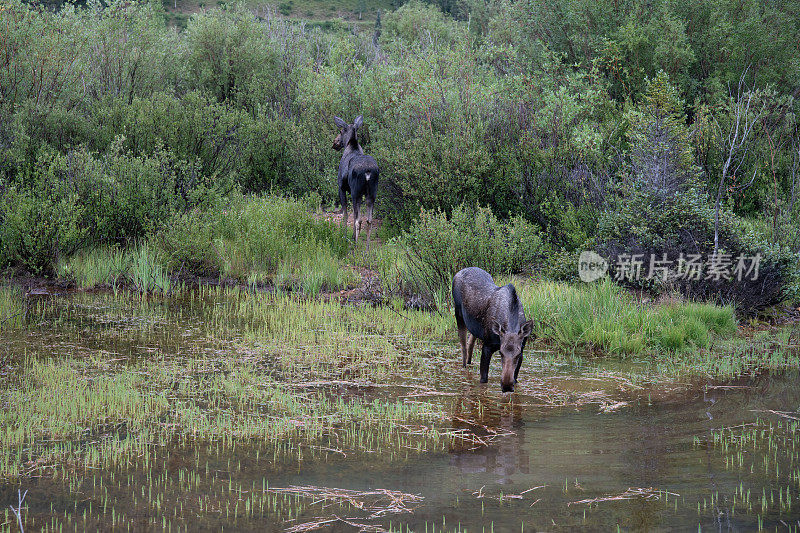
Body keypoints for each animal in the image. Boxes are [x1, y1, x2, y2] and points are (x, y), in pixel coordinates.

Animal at [332, 115, 380, 248]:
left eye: (341, 131)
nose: (335, 142)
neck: (351, 145)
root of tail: (368, 172)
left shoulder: (341, 187)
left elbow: (346, 214)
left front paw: (345, 236)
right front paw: (353, 236)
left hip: (356, 192)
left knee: (359, 220)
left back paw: (356, 248)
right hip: (372, 193)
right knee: (369, 220)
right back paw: (367, 249)